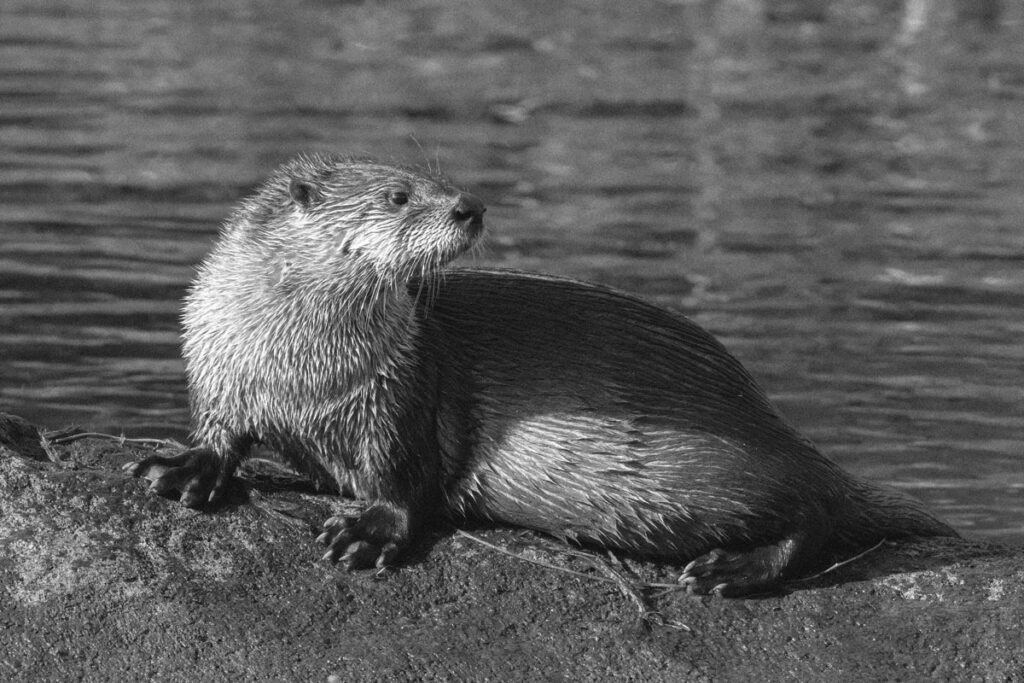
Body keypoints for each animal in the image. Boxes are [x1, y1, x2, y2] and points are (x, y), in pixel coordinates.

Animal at [125, 153, 958, 596]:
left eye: (433, 179)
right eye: (399, 194)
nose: (470, 205)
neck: (301, 369)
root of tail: (770, 420)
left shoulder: (401, 390)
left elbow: (403, 479)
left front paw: (366, 528)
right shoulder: (219, 363)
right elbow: (220, 432)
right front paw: (185, 466)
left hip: (713, 469)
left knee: (819, 507)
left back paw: (730, 570)